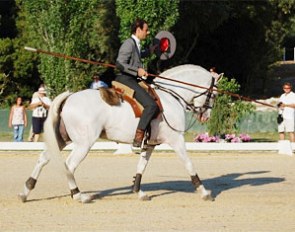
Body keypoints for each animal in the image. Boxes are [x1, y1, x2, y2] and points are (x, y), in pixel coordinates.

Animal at [17, 64, 217, 202]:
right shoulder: (176, 139)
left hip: (62, 139)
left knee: (43, 159)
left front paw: (139, 192)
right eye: (213, 95)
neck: (171, 96)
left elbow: (141, 166)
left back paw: (25, 191)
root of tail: (69, 97)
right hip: (83, 143)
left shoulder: (150, 144)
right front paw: (204, 192)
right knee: (69, 165)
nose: (206, 117)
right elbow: (189, 163)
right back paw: (79, 195)